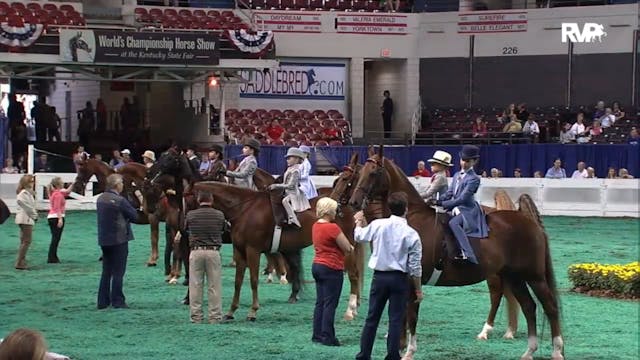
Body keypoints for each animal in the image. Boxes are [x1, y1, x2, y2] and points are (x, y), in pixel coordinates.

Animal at [348, 146, 564, 360]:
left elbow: (411, 316)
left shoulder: (413, 279)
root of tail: (530, 222)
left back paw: (556, 351)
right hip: (514, 277)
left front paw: (409, 351)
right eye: (360, 173)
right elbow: (401, 316)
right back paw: (529, 351)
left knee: (550, 307)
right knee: (529, 306)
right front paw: (400, 348)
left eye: (373, 173)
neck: (409, 219)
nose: (354, 202)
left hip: (534, 277)